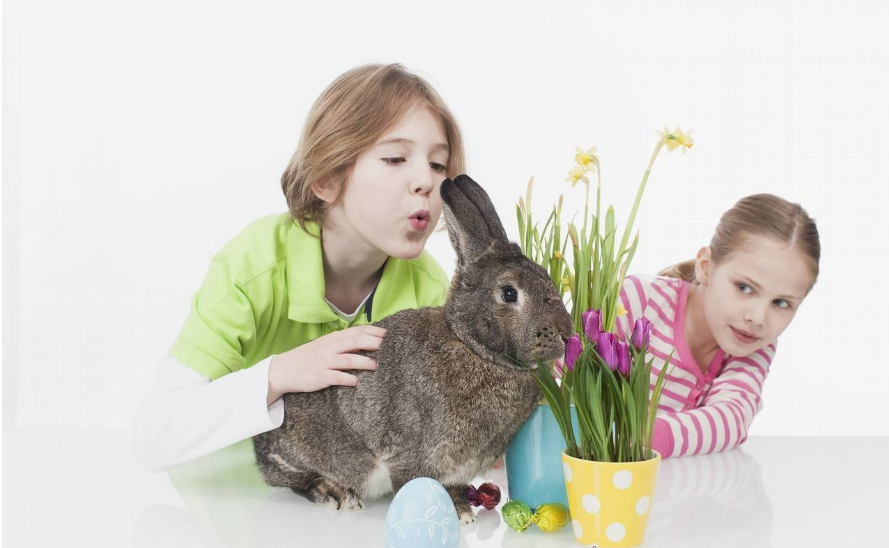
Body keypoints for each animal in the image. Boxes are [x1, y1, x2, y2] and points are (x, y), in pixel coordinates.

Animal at [251, 176, 568, 524]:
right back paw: (335, 494)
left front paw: (463, 510)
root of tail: (260, 447)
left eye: (546, 276)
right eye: (510, 293)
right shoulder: (413, 455)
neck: (472, 347)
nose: (567, 332)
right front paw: (452, 515)